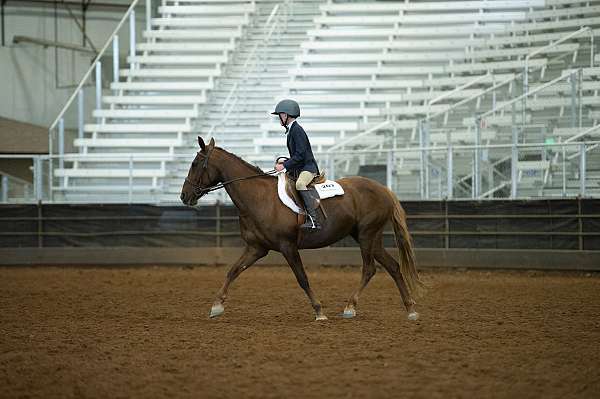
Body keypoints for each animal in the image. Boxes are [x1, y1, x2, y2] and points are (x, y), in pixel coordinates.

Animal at [180, 138, 424, 322]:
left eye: (195, 164)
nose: (184, 196)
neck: (258, 197)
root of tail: (383, 189)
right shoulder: (256, 248)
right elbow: (233, 271)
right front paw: (216, 306)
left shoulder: (288, 246)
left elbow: (302, 278)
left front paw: (319, 311)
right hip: (370, 238)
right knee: (393, 267)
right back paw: (410, 310)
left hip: (367, 235)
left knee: (369, 269)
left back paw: (350, 307)